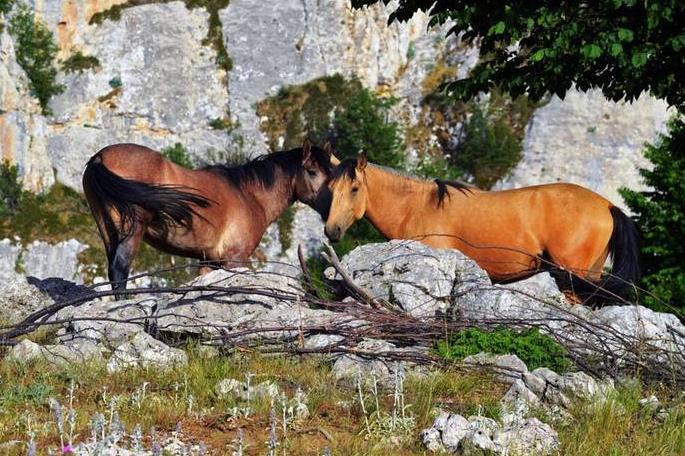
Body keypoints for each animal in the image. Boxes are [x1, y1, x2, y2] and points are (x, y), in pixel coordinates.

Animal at [82, 139, 334, 298]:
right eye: (312, 172)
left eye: (330, 173)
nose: (330, 209)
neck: (248, 194)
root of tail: (100, 158)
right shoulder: (235, 260)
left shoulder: (209, 261)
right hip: (131, 229)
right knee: (120, 269)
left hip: (107, 230)